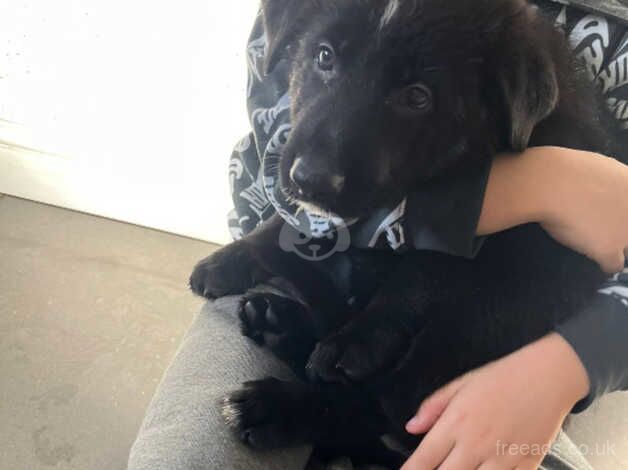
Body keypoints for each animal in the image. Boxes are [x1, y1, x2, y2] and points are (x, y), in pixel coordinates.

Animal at [191, 0, 628, 462]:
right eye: (324, 56)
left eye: (418, 96)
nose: (310, 180)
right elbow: (286, 224)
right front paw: (233, 257)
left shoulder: (512, 238)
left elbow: (422, 272)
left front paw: (360, 337)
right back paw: (281, 324)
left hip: (483, 322)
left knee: (387, 407)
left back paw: (275, 406)